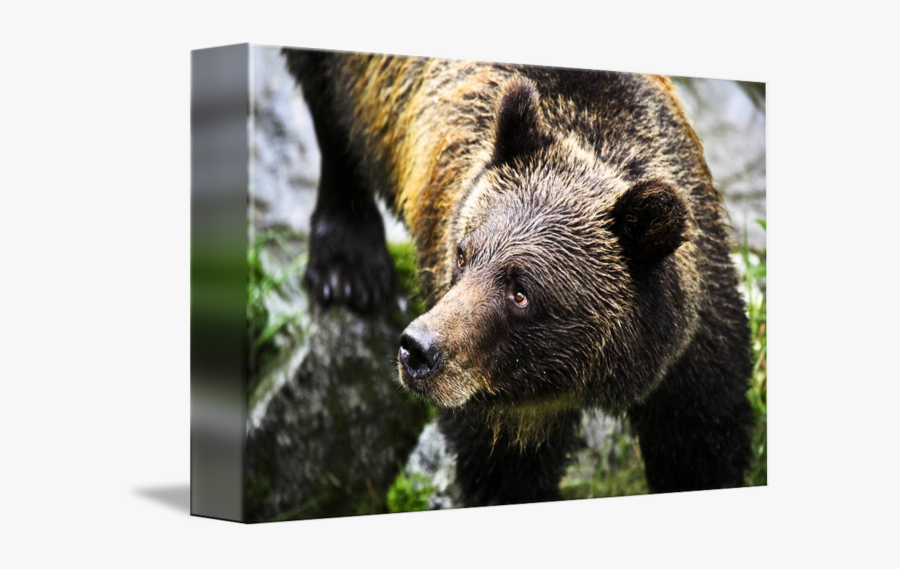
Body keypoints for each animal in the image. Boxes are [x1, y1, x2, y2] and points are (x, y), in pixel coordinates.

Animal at [283, 48, 754, 506]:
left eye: (522, 292)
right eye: (463, 253)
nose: (417, 349)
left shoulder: (692, 358)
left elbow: (702, 447)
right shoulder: (498, 408)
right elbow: (503, 472)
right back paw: (347, 267)